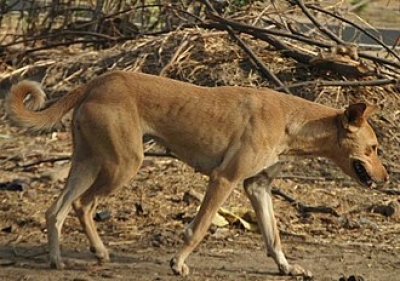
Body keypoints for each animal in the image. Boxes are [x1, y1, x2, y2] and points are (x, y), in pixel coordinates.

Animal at [5, 71, 388, 276]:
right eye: (373, 148)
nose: (386, 179)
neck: (291, 121)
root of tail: (99, 81)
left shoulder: (257, 188)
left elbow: (274, 237)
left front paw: (286, 267)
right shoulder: (224, 179)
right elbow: (199, 228)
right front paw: (177, 263)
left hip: (88, 163)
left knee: (57, 210)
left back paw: (58, 259)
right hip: (123, 164)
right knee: (83, 205)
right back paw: (92, 253)